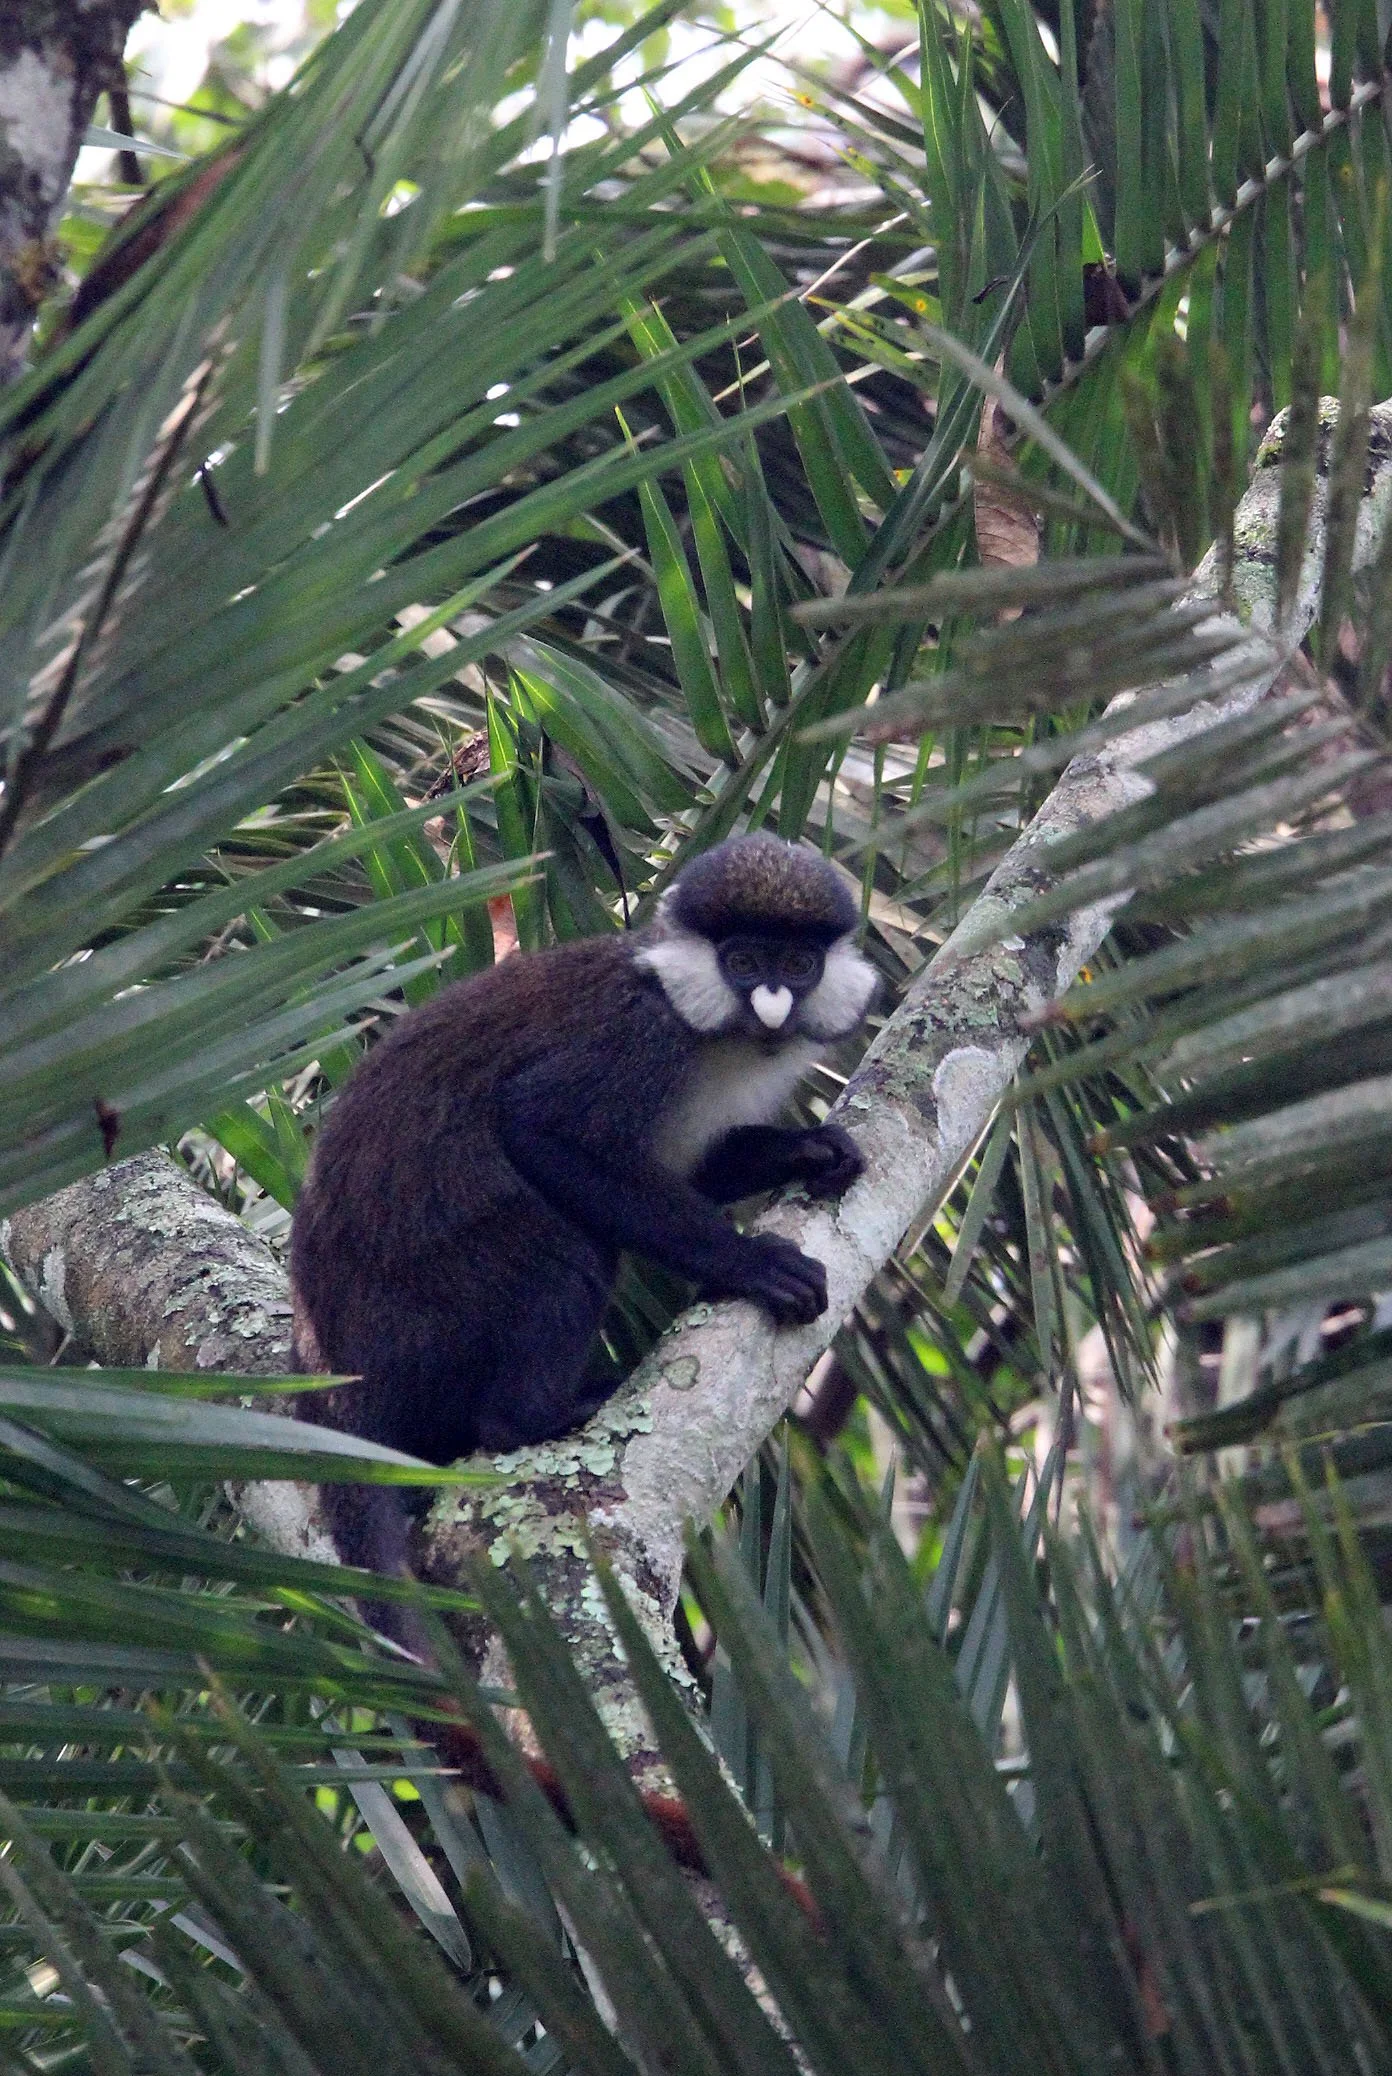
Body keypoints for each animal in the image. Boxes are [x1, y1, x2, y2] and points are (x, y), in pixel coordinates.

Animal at [288, 832, 877, 1596]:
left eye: (798, 965)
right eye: (744, 962)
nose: (773, 1005)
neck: (715, 1032)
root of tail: (334, 1360)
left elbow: (690, 1169)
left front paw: (813, 1150)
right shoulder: (639, 1034)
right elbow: (541, 1128)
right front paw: (751, 1263)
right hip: (428, 1301)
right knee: (564, 1253)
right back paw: (534, 1416)